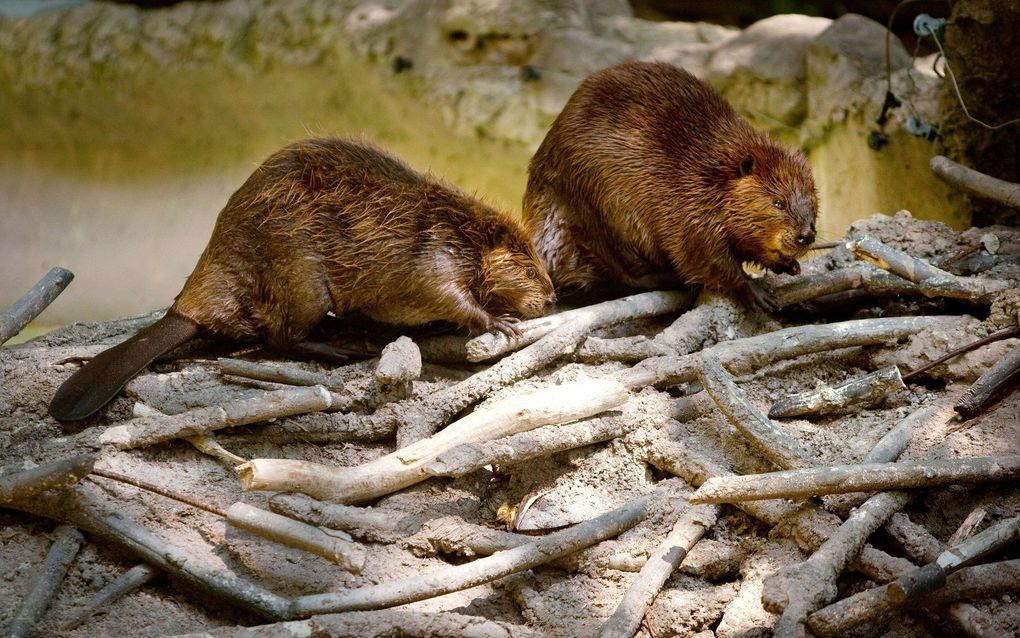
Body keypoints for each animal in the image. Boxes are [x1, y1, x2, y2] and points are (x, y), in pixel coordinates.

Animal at [51, 136, 554, 420]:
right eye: (530, 268)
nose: (549, 298)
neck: (456, 229)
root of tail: (186, 311)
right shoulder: (432, 254)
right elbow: (448, 295)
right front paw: (500, 322)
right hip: (302, 277)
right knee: (282, 337)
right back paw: (344, 345)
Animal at [526, 61, 820, 308]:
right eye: (778, 203)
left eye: (813, 202)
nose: (805, 235)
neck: (714, 169)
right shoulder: (686, 202)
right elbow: (701, 255)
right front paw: (755, 291)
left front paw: (788, 264)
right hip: (598, 204)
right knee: (625, 272)